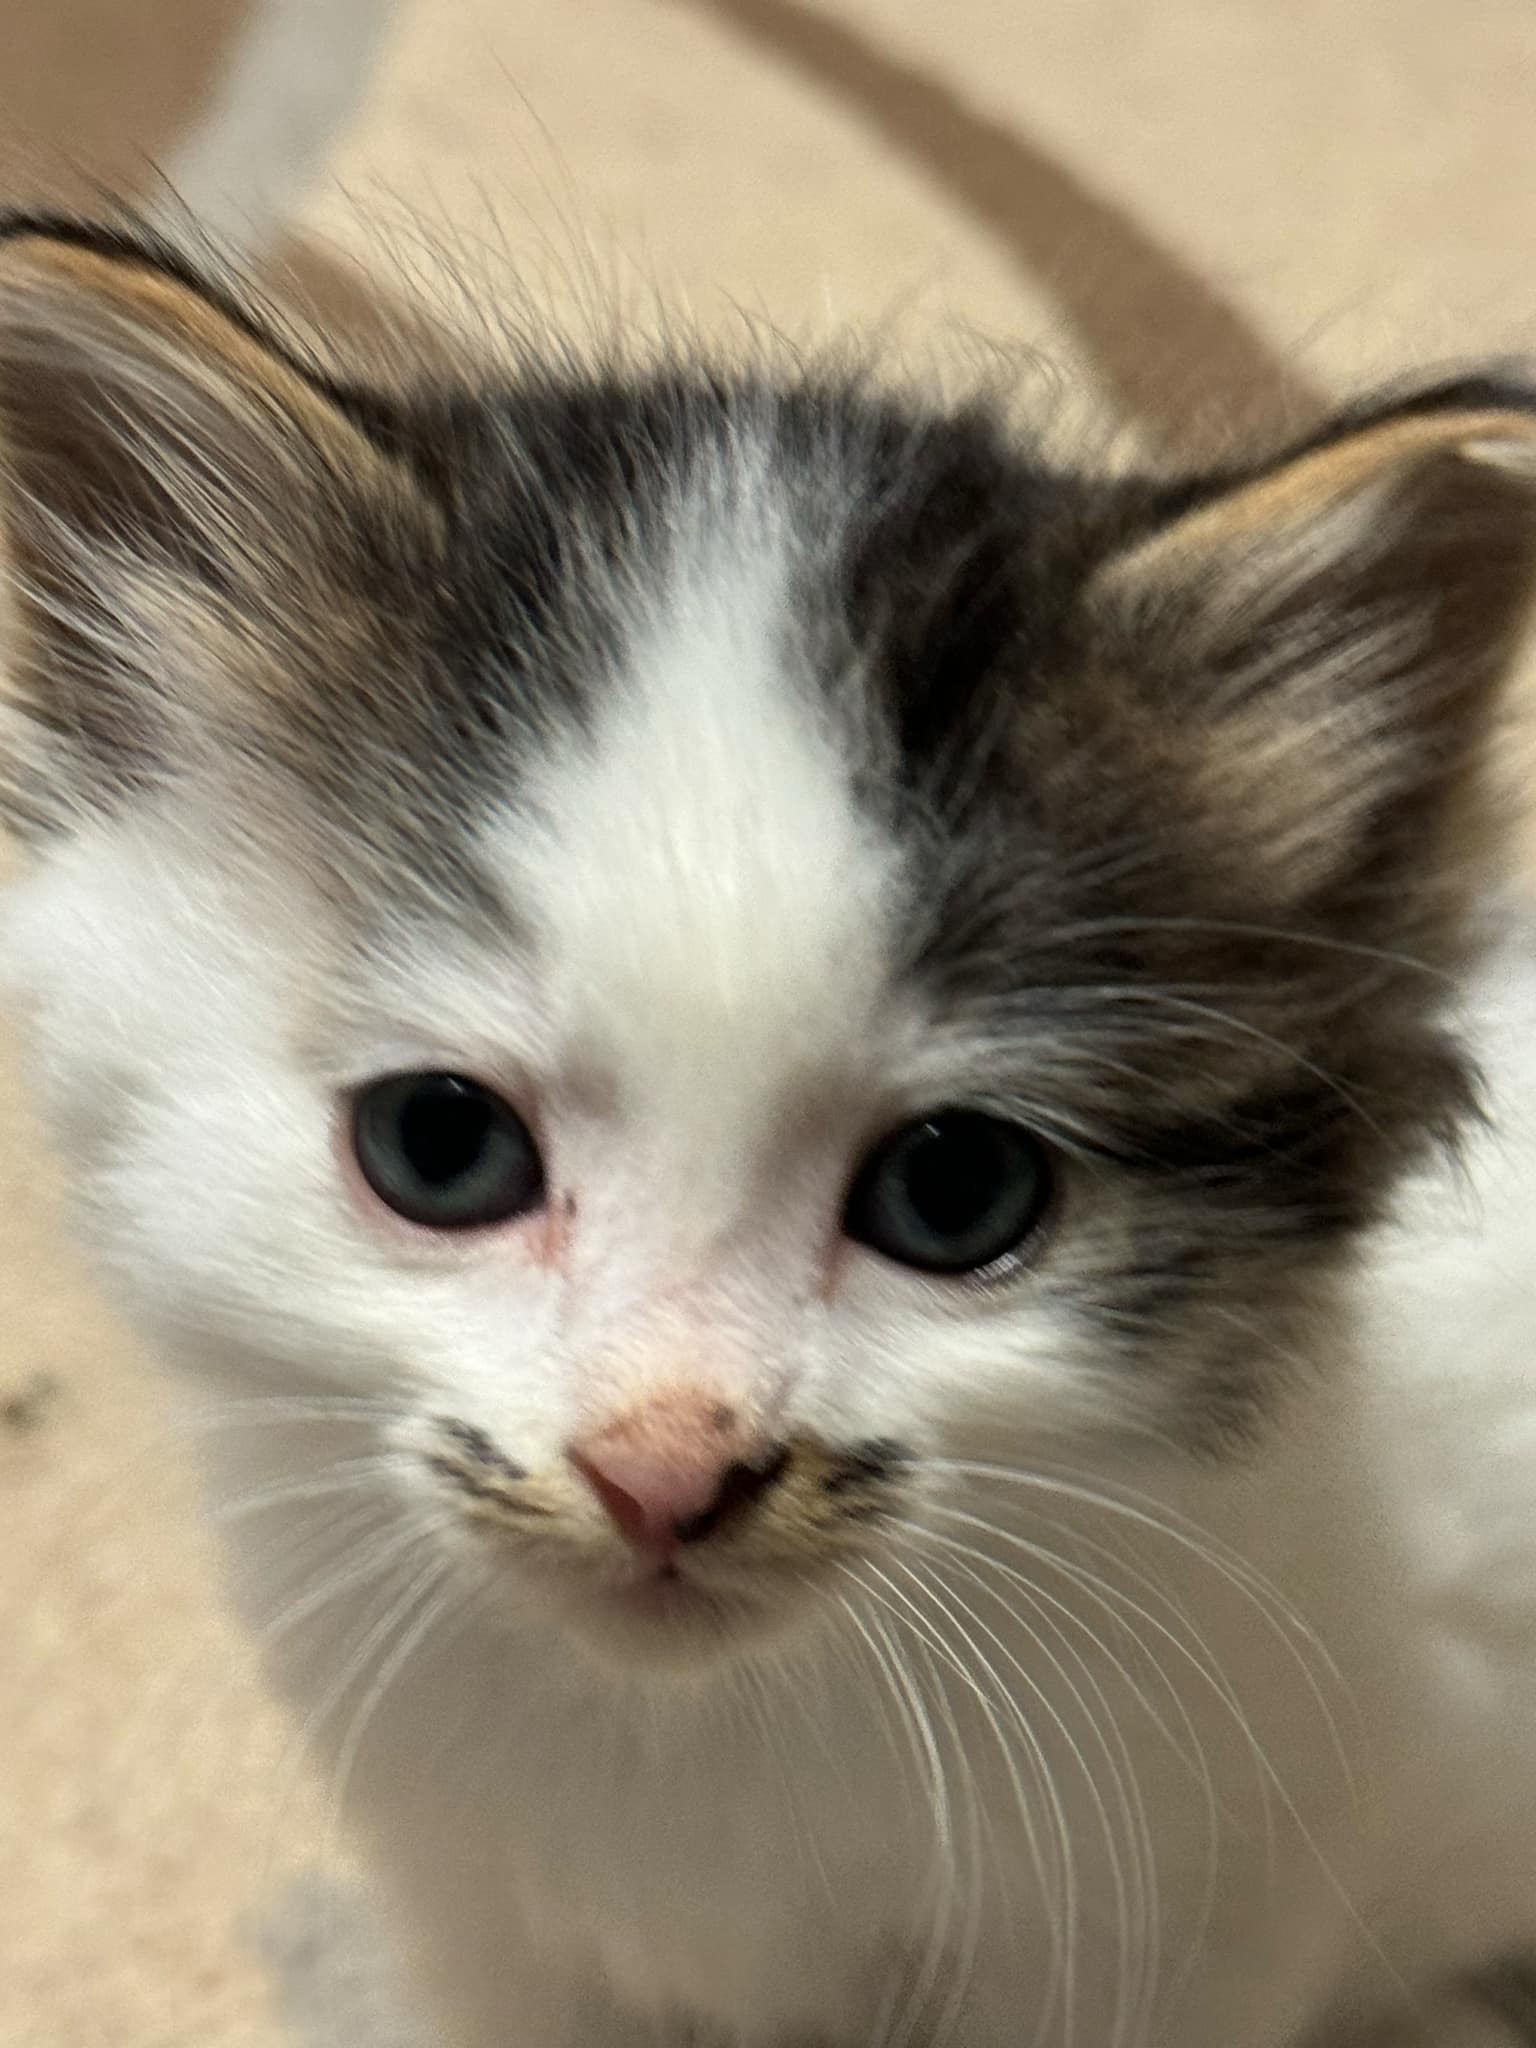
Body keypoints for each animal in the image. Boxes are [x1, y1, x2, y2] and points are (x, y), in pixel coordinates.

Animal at [3, 211, 1536, 2048]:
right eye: (440, 1147)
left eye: (958, 1192)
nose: (664, 1471)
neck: (701, 1751)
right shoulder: (487, 1912)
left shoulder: (1194, 1916)